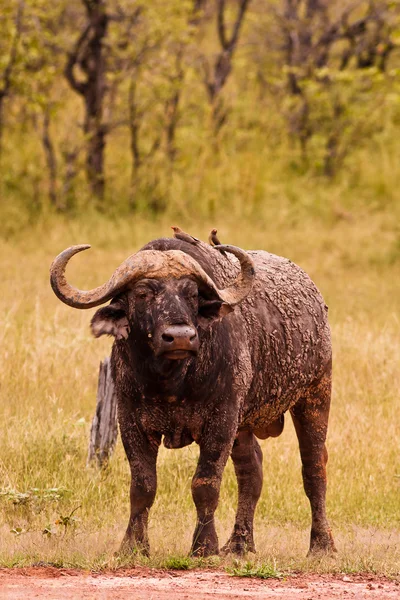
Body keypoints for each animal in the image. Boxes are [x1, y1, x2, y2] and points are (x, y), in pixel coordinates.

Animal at [50, 233, 338, 556]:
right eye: (142, 293)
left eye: (191, 294)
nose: (180, 337)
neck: (172, 382)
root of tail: (315, 298)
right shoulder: (130, 419)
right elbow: (142, 485)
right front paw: (133, 545)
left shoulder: (221, 419)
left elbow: (205, 484)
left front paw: (204, 546)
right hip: (244, 425)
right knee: (251, 470)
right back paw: (239, 545)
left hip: (315, 393)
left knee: (314, 469)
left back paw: (321, 546)